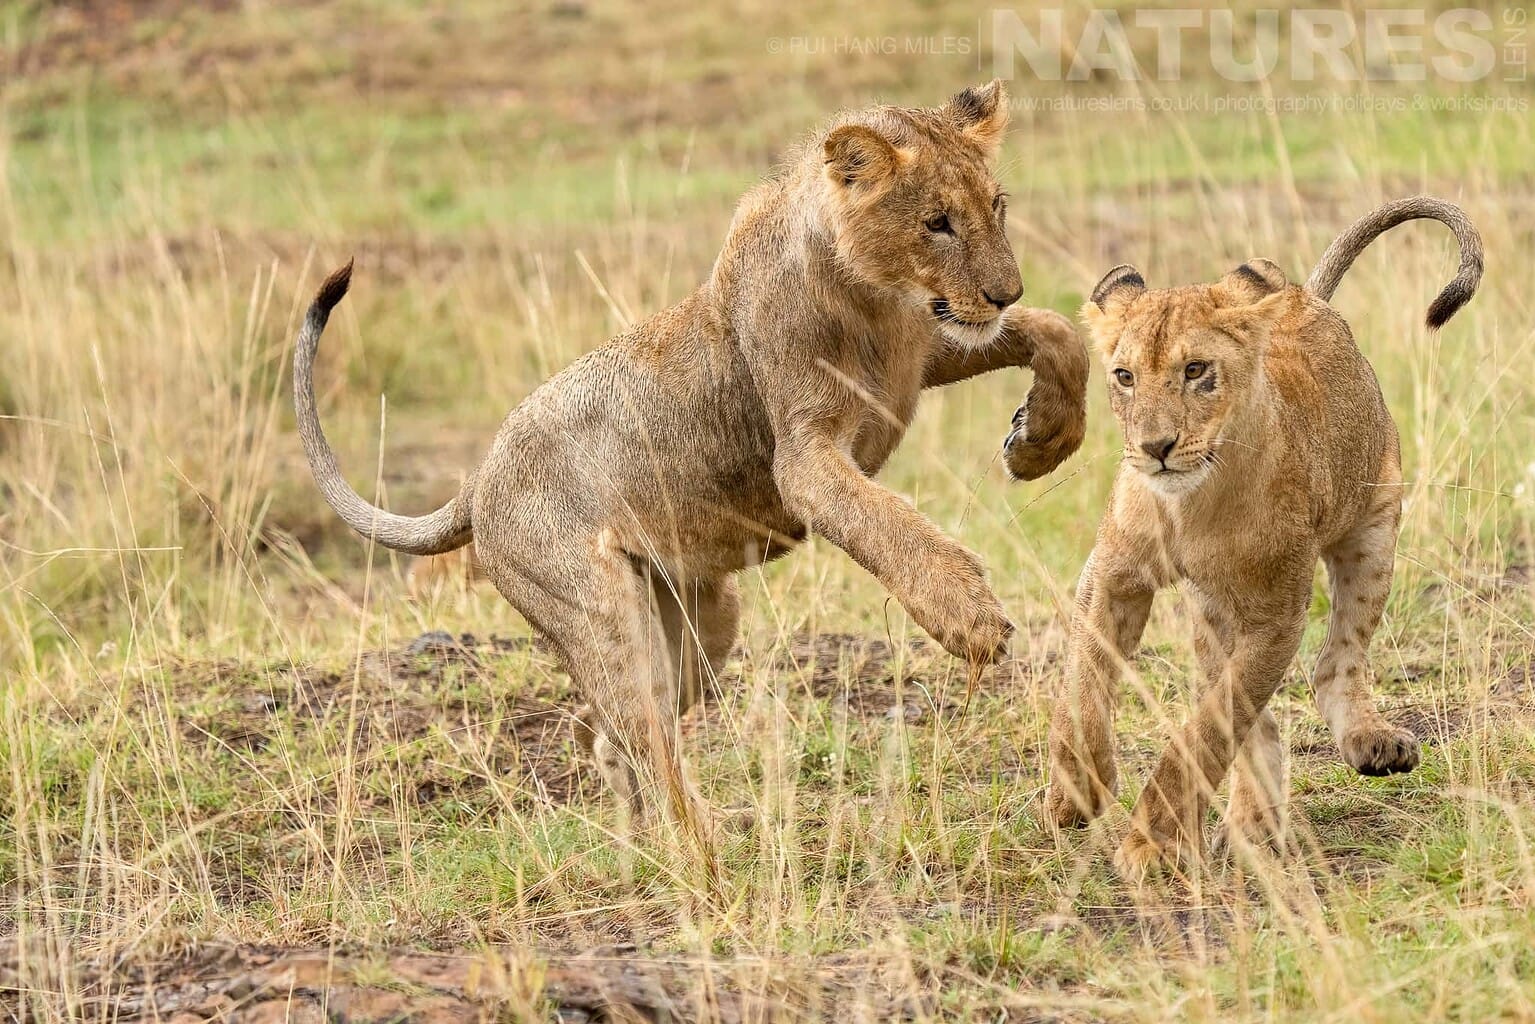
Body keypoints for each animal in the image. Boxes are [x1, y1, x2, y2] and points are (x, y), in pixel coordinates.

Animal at [293, 81, 1090, 862]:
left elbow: (1060, 335)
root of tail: (478, 480)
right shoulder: (804, 456)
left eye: (996, 206)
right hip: (604, 619)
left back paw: (659, 840)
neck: (881, 299)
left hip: (704, 626)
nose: (1006, 292)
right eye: (936, 223)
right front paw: (970, 620)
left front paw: (1041, 442)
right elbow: (888, 524)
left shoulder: (925, 357)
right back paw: (709, 848)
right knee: (643, 741)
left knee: (610, 740)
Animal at [1044, 197, 1483, 880]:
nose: (1156, 447)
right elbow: (1084, 684)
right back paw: (1253, 820)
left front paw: (1151, 842)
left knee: (1333, 665)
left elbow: (1207, 731)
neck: (1188, 507)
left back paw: (1365, 749)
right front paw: (1075, 792)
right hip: (1211, 612)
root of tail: (1309, 297)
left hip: (1371, 529)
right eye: (1123, 376)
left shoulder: (1277, 616)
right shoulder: (1112, 576)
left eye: (1197, 371)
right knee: (1257, 717)